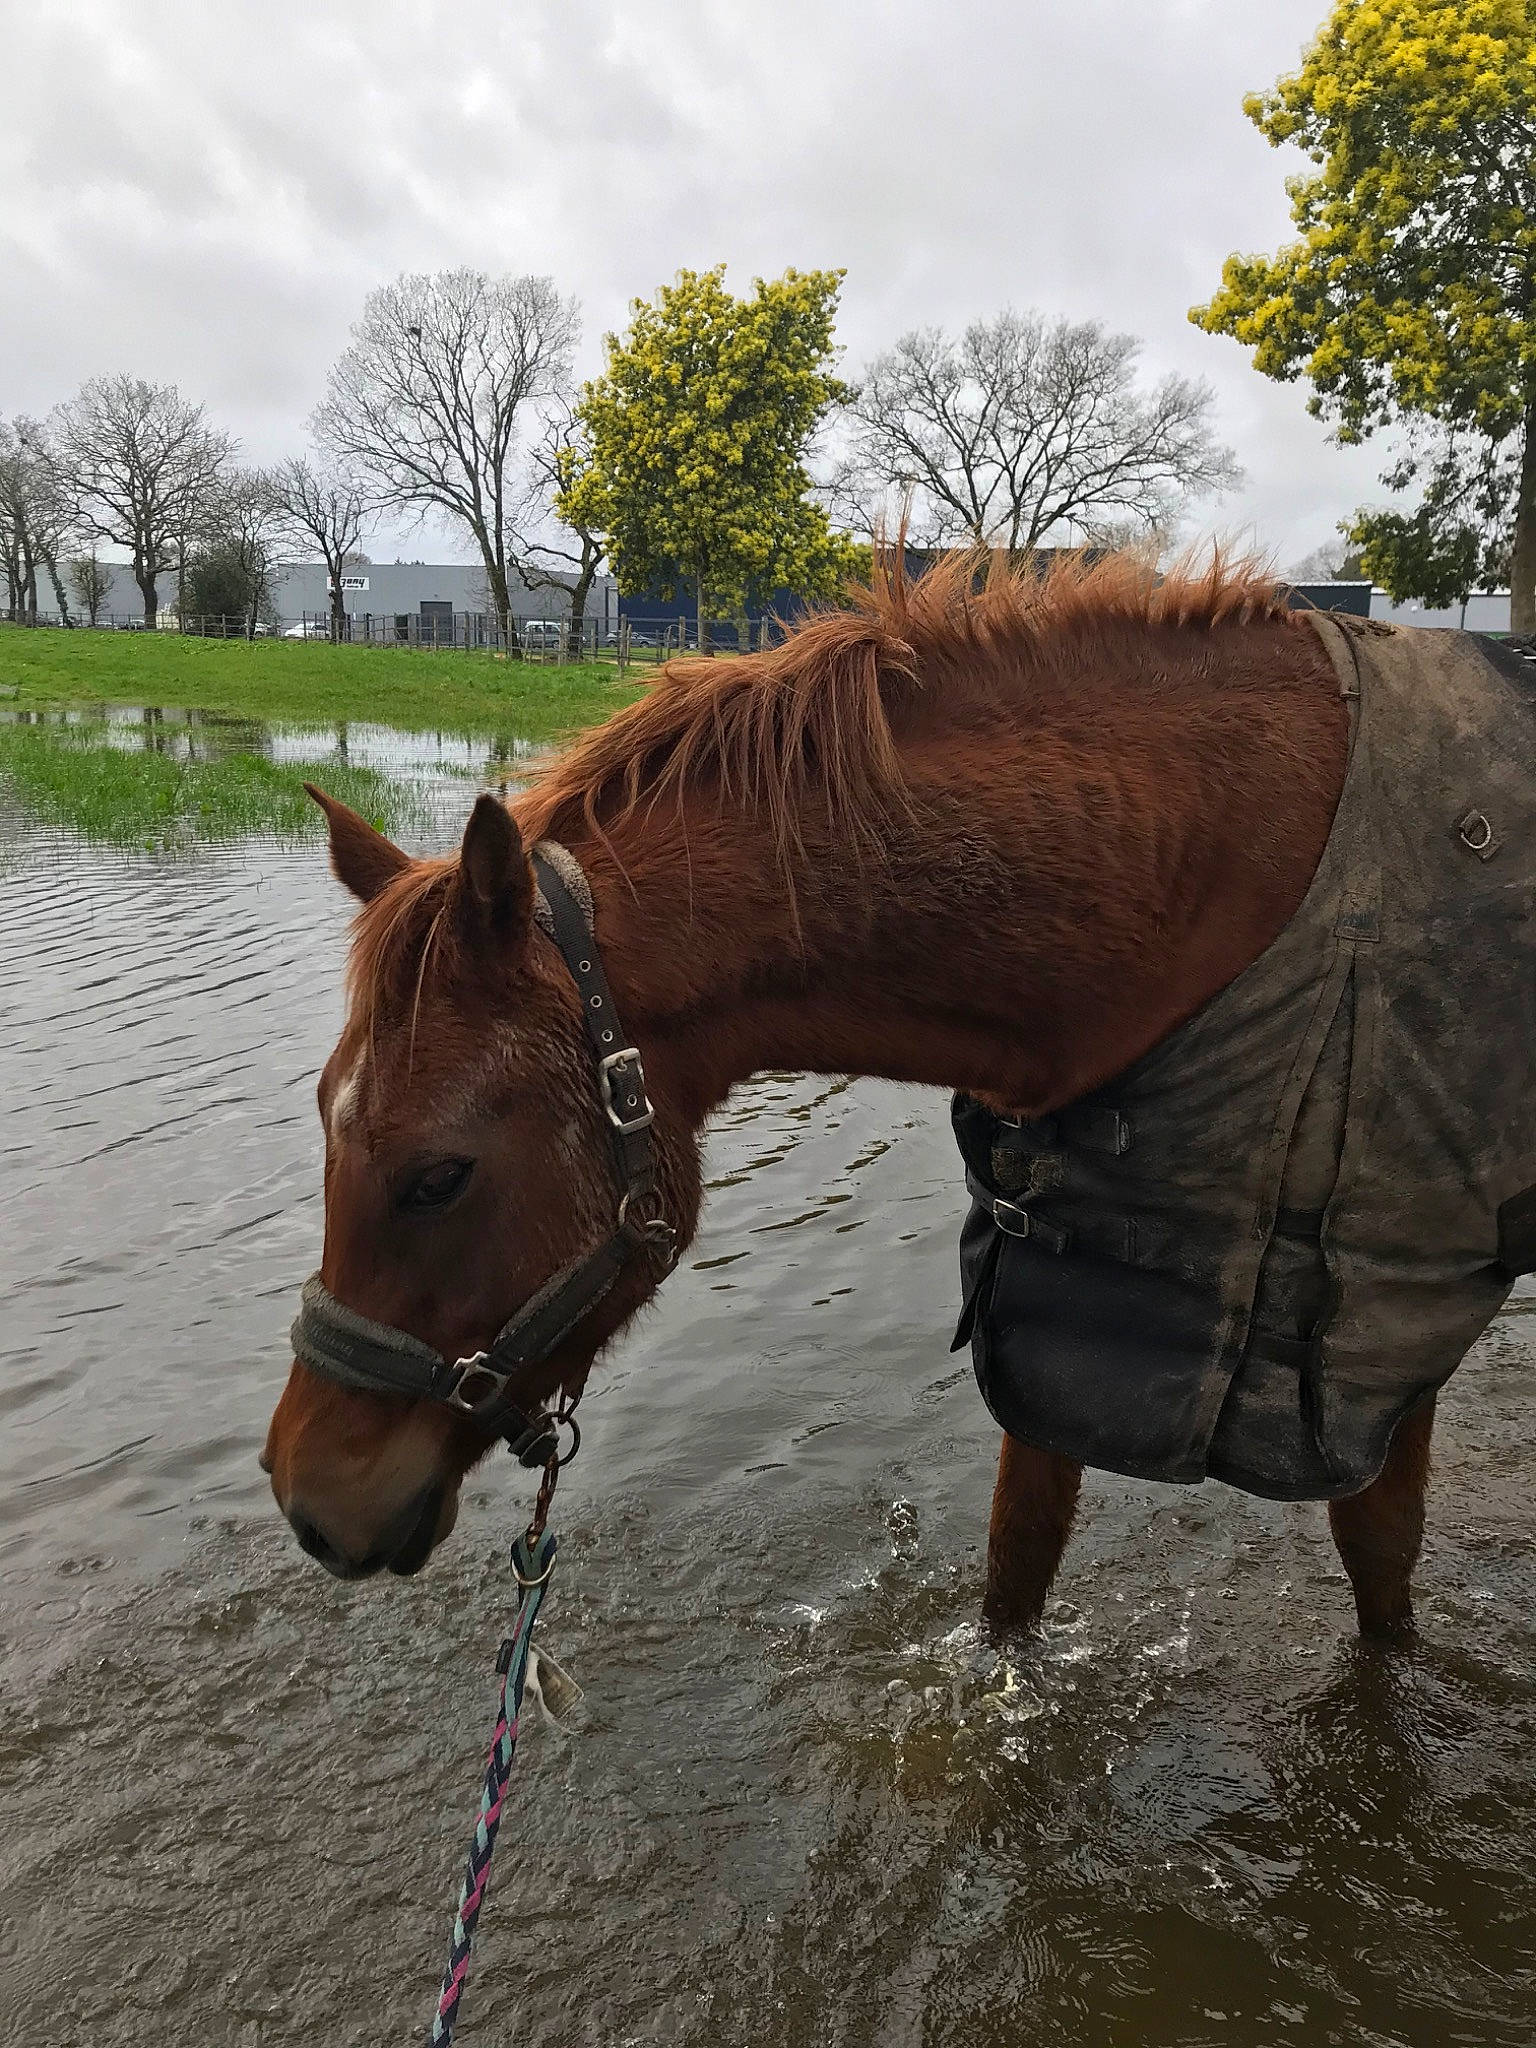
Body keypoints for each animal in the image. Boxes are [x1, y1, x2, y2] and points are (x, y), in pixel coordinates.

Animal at [263, 550, 1487, 1641]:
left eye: (438, 1175)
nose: (307, 1500)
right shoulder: (1064, 1314)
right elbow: (1017, 1564)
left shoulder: (1381, 1336)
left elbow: (1381, 1558)